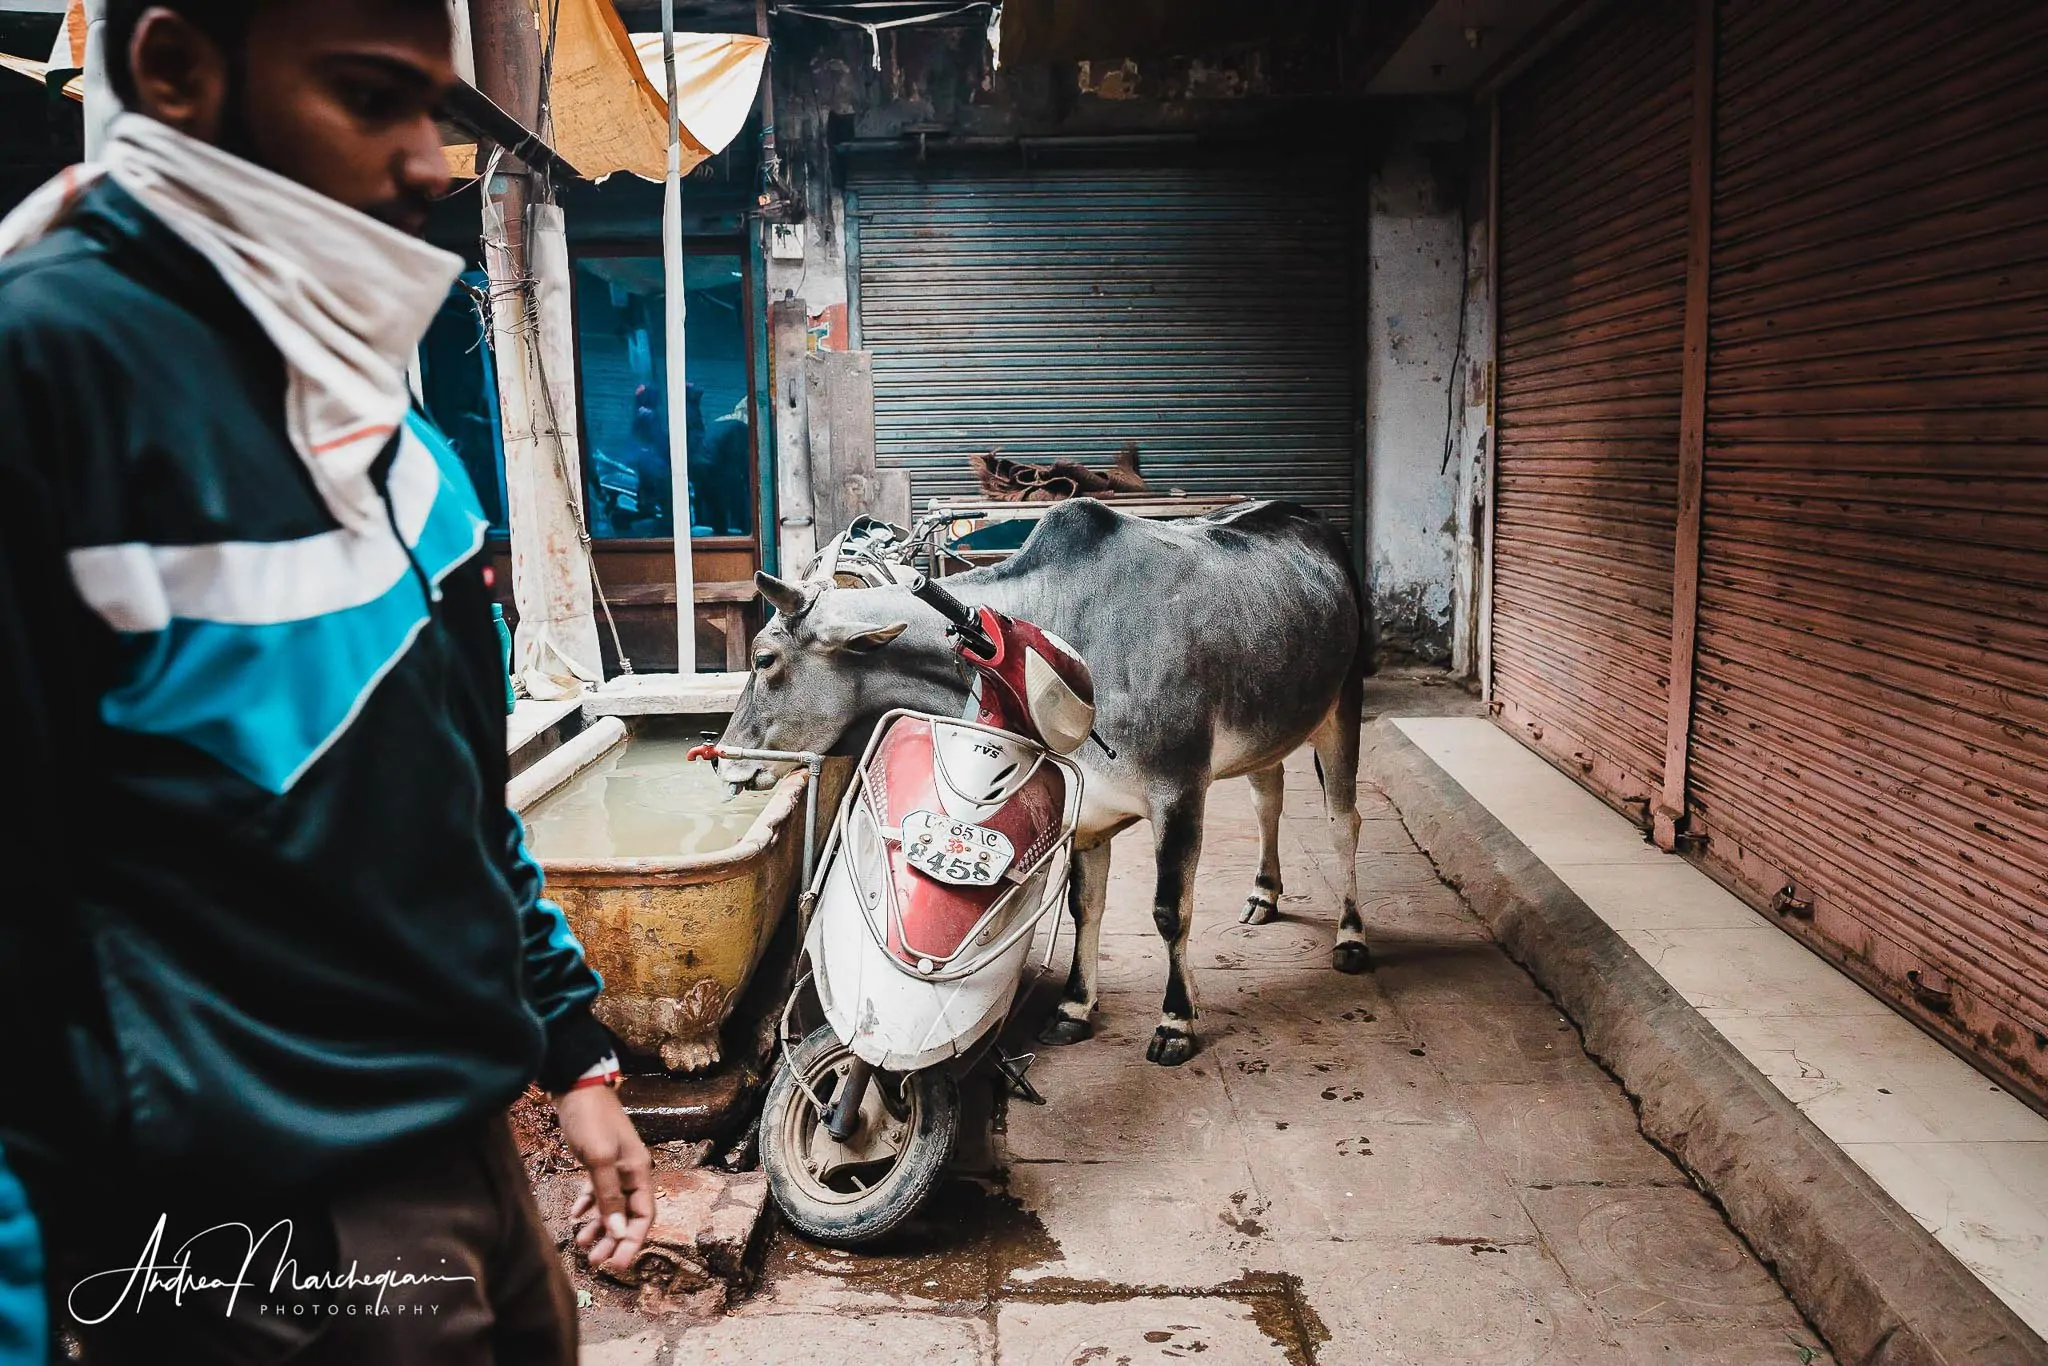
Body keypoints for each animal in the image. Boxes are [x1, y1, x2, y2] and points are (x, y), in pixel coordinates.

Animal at [712, 499, 1368, 1064]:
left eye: (764, 658)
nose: (723, 760)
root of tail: (1311, 520)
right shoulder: (1091, 809)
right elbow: (1085, 905)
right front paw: (1076, 1007)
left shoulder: (1180, 792)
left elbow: (1169, 911)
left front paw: (1175, 1021)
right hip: (1271, 726)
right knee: (1268, 797)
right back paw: (1264, 893)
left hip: (1343, 706)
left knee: (1344, 822)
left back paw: (1351, 936)